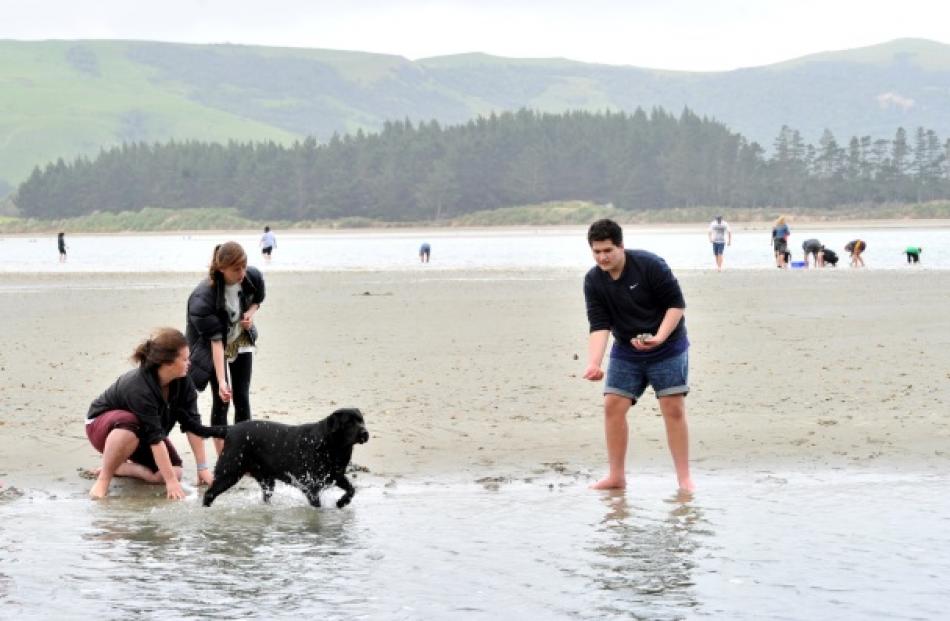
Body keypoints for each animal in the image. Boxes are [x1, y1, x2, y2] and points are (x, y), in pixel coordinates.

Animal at [203, 406, 370, 508]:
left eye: (361, 420)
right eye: (349, 422)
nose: (365, 433)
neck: (332, 446)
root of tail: (230, 429)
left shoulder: (336, 475)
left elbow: (351, 489)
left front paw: (342, 502)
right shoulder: (310, 485)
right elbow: (317, 506)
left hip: (266, 480)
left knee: (266, 495)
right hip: (229, 472)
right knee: (209, 493)